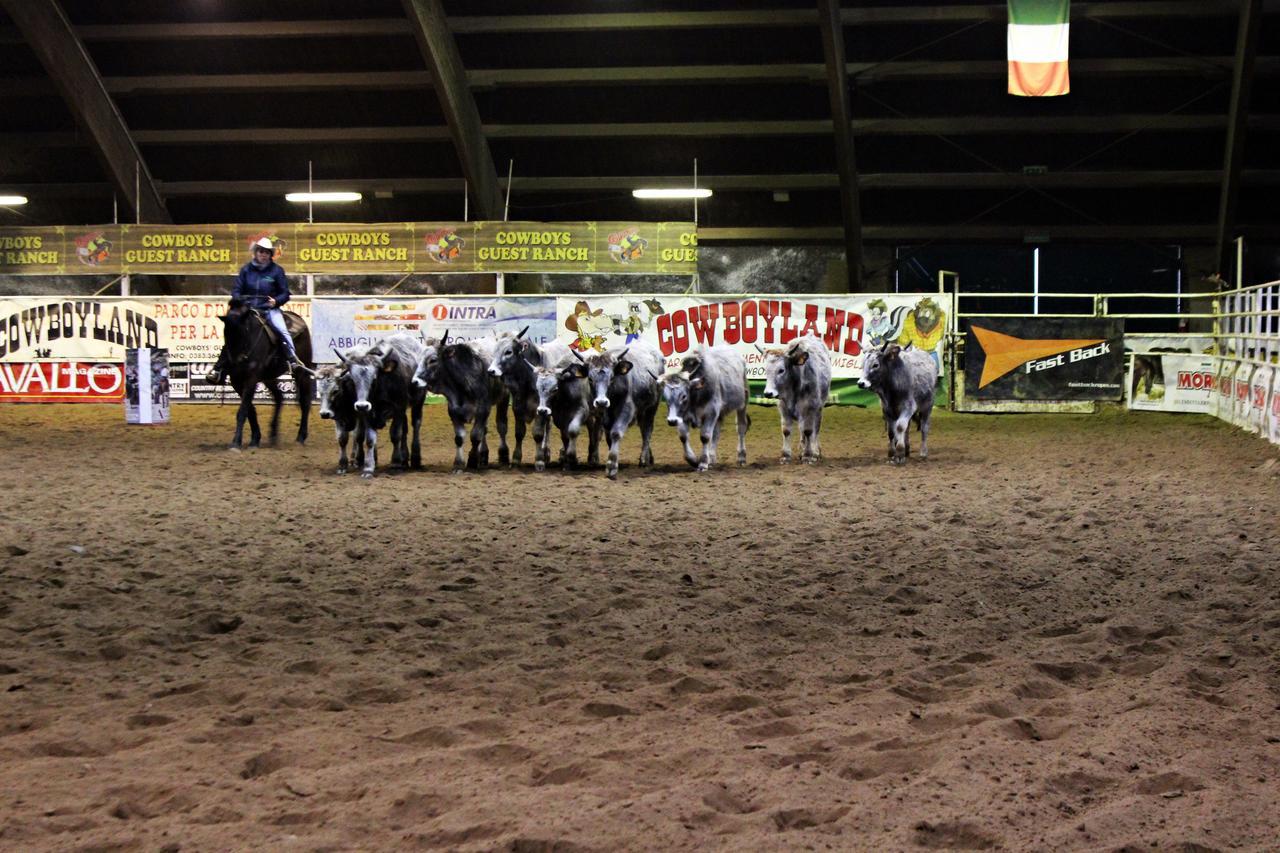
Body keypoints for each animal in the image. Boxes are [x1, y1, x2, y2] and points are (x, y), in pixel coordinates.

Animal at [217, 297, 312, 445]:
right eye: (226, 334)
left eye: (244, 331)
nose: (237, 360)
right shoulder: (236, 381)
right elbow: (249, 409)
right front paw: (255, 438)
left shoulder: (251, 378)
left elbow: (243, 410)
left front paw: (236, 442)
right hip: (268, 377)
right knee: (279, 397)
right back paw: (273, 434)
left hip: (303, 372)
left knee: (305, 402)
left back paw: (301, 436)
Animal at [757, 333, 829, 466]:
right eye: (766, 370)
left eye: (781, 370)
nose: (768, 393)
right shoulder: (783, 408)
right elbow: (786, 431)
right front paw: (786, 455)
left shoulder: (810, 407)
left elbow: (808, 431)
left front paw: (808, 455)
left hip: (818, 408)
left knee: (815, 429)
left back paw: (815, 452)